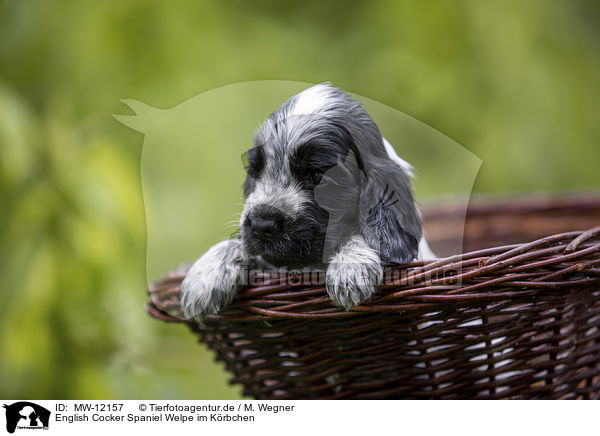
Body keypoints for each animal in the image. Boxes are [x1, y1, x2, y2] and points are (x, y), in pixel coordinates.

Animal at [180, 83, 434, 318]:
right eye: (255, 172)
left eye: (318, 176)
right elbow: (239, 245)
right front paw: (204, 276)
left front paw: (351, 267)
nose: (261, 225)